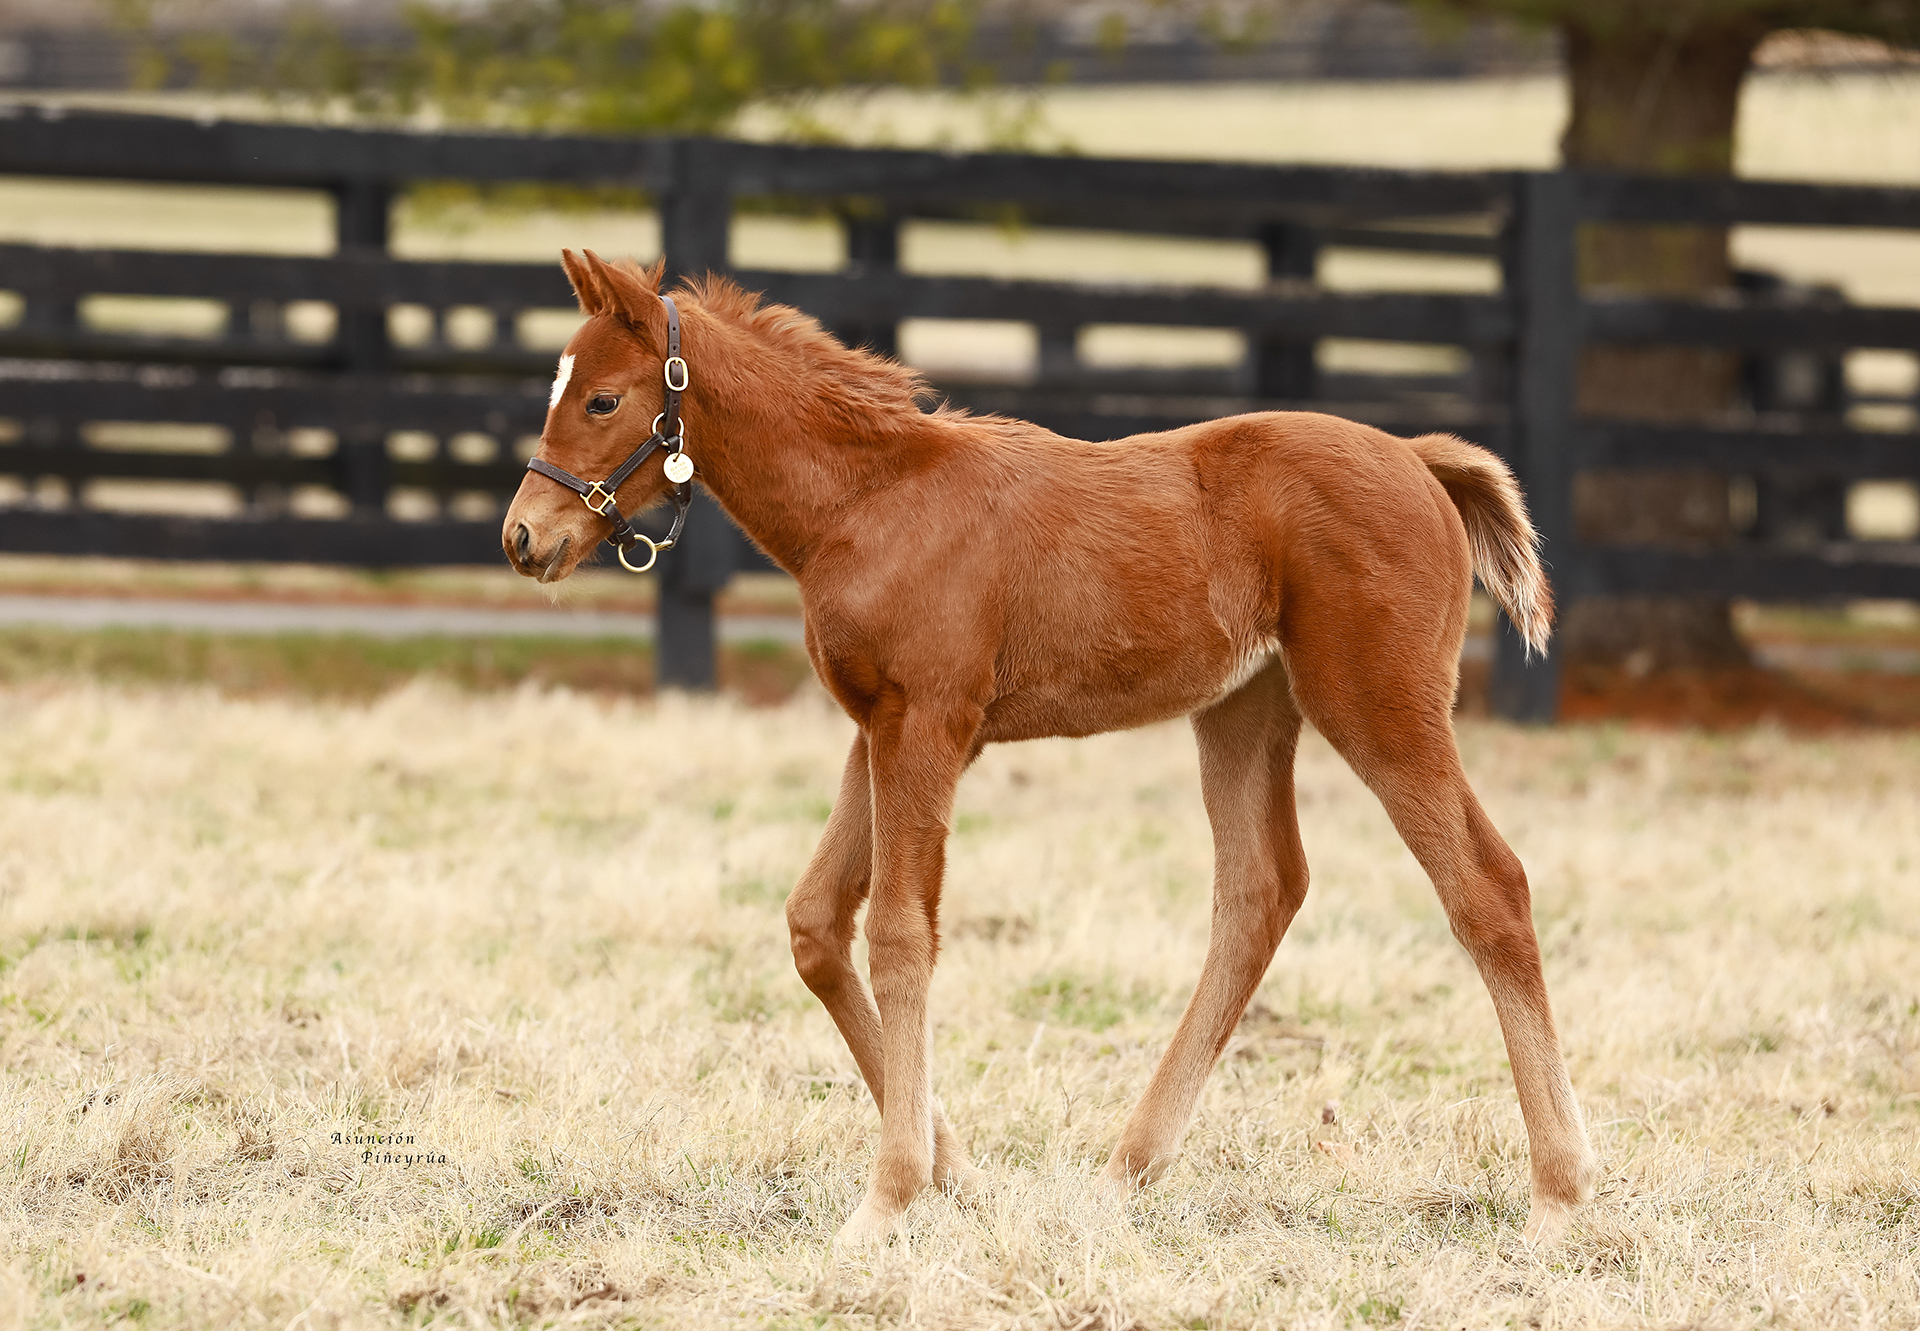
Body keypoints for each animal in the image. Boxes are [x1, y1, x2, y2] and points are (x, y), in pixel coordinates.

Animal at [503, 249, 1597, 1244]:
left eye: (601, 398)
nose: (523, 538)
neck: (867, 501)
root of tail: (1419, 456)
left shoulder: (932, 724)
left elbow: (899, 932)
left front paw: (887, 1199)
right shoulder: (878, 726)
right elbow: (816, 922)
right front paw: (959, 1173)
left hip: (1378, 702)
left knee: (1486, 883)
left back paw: (1559, 1190)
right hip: (1245, 708)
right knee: (1260, 889)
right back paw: (1127, 1168)